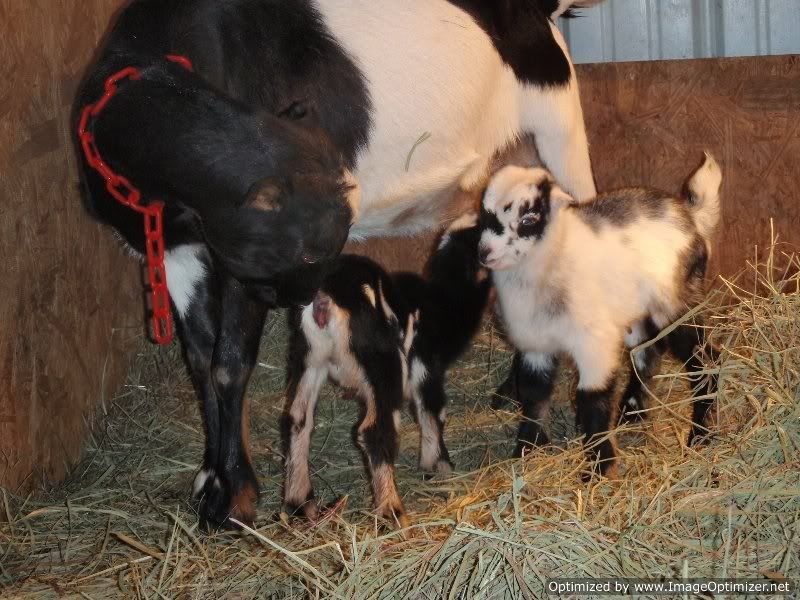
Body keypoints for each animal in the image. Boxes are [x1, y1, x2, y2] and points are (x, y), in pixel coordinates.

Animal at [284, 216, 490, 526]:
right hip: (384, 366)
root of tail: (325, 298)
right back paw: (392, 513)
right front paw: (438, 465)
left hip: (308, 358)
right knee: (375, 430)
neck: (442, 302)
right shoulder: (426, 368)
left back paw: (300, 503)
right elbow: (433, 413)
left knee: (298, 419)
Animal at [478, 154, 722, 476]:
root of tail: (691, 216)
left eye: (529, 219)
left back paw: (700, 435)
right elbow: (533, 393)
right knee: (648, 351)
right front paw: (527, 450)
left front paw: (598, 469)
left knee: (706, 359)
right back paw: (632, 412)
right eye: (485, 214)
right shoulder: (535, 345)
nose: (484, 253)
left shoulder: (594, 343)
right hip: (636, 311)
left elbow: (594, 398)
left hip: (677, 305)